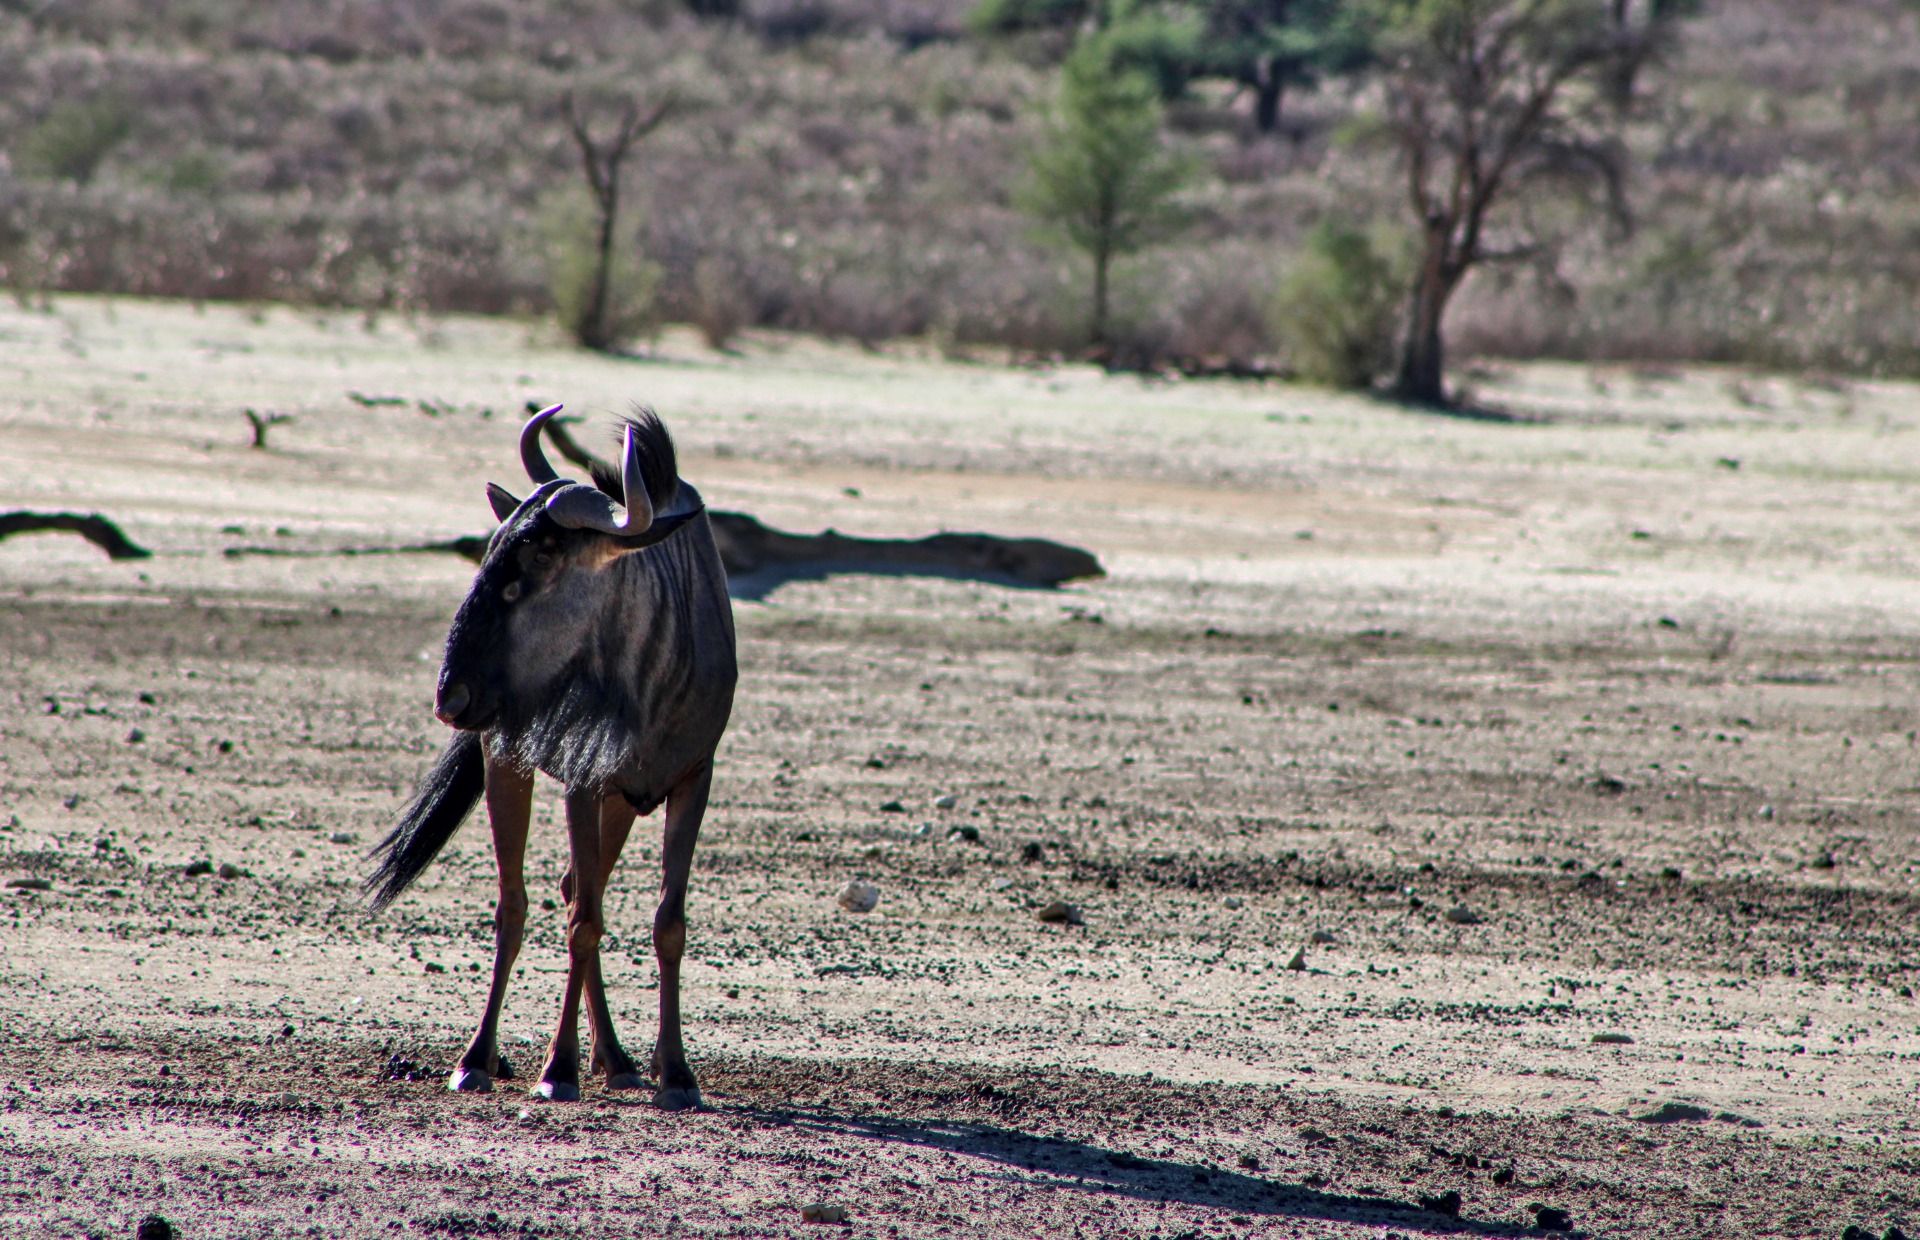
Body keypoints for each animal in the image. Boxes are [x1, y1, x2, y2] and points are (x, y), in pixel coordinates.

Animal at [366, 404, 736, 1109]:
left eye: (538, 559)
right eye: (489, 552)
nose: (452, 695)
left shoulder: (692, 781)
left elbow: (667, 923)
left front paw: (675, 1073)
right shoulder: (582, 783)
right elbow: (583, 922)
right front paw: (557, 1069)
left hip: (620, 801)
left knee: (569, 889)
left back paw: (616, 1060)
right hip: (509, 765)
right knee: (516, 905)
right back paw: (479, 1058)